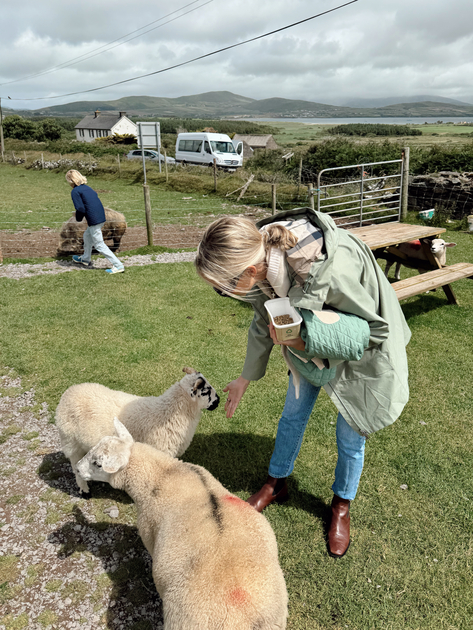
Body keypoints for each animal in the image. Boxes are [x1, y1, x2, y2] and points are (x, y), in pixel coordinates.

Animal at [55, 368, 219, 496]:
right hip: (71, 442)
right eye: (205, 391)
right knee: (75, 466)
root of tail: (69, 391)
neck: (171, 411)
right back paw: (84, 490)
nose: (218, 401)